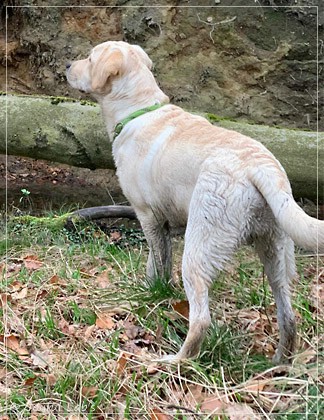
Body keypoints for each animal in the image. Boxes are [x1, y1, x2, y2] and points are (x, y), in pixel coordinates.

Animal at [66, 41, 324, 364]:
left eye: (89, 59)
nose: (66, 66)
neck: (138, 109)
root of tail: (260, 166)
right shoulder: (161, 223)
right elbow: (156, 262)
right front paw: (152, 289)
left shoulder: (147, 216)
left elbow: (159, 263)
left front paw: (157, 293)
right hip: (276, 252)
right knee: (288, 316)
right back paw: (278, 363)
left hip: (198, 249)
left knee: (201, 319)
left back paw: (174, 361)